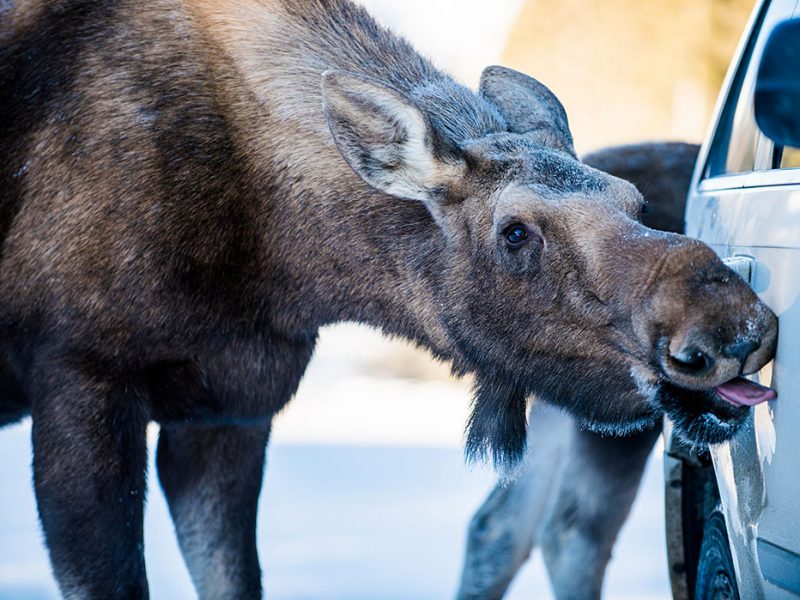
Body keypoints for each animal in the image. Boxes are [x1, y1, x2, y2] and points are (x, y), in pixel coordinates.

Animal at [0, 1, 776, 600]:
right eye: (515, 231)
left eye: (636, 203)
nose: (734, 327)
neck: (286, 268)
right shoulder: (82, 379)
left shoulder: (232, 407)